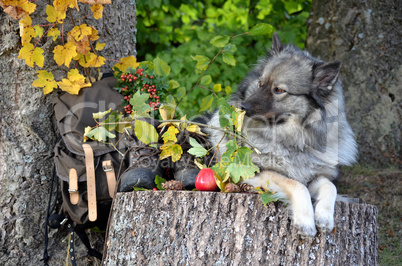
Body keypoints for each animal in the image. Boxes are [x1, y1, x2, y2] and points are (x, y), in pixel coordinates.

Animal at [207, 33, 358, 237]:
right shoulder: (259, 173)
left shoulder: (316, 176)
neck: (297, 141)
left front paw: (324, 217)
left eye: (279, 90)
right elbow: (297, 185)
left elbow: (330, 186)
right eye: (260, 84)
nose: (243, 107)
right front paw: (306, 221)